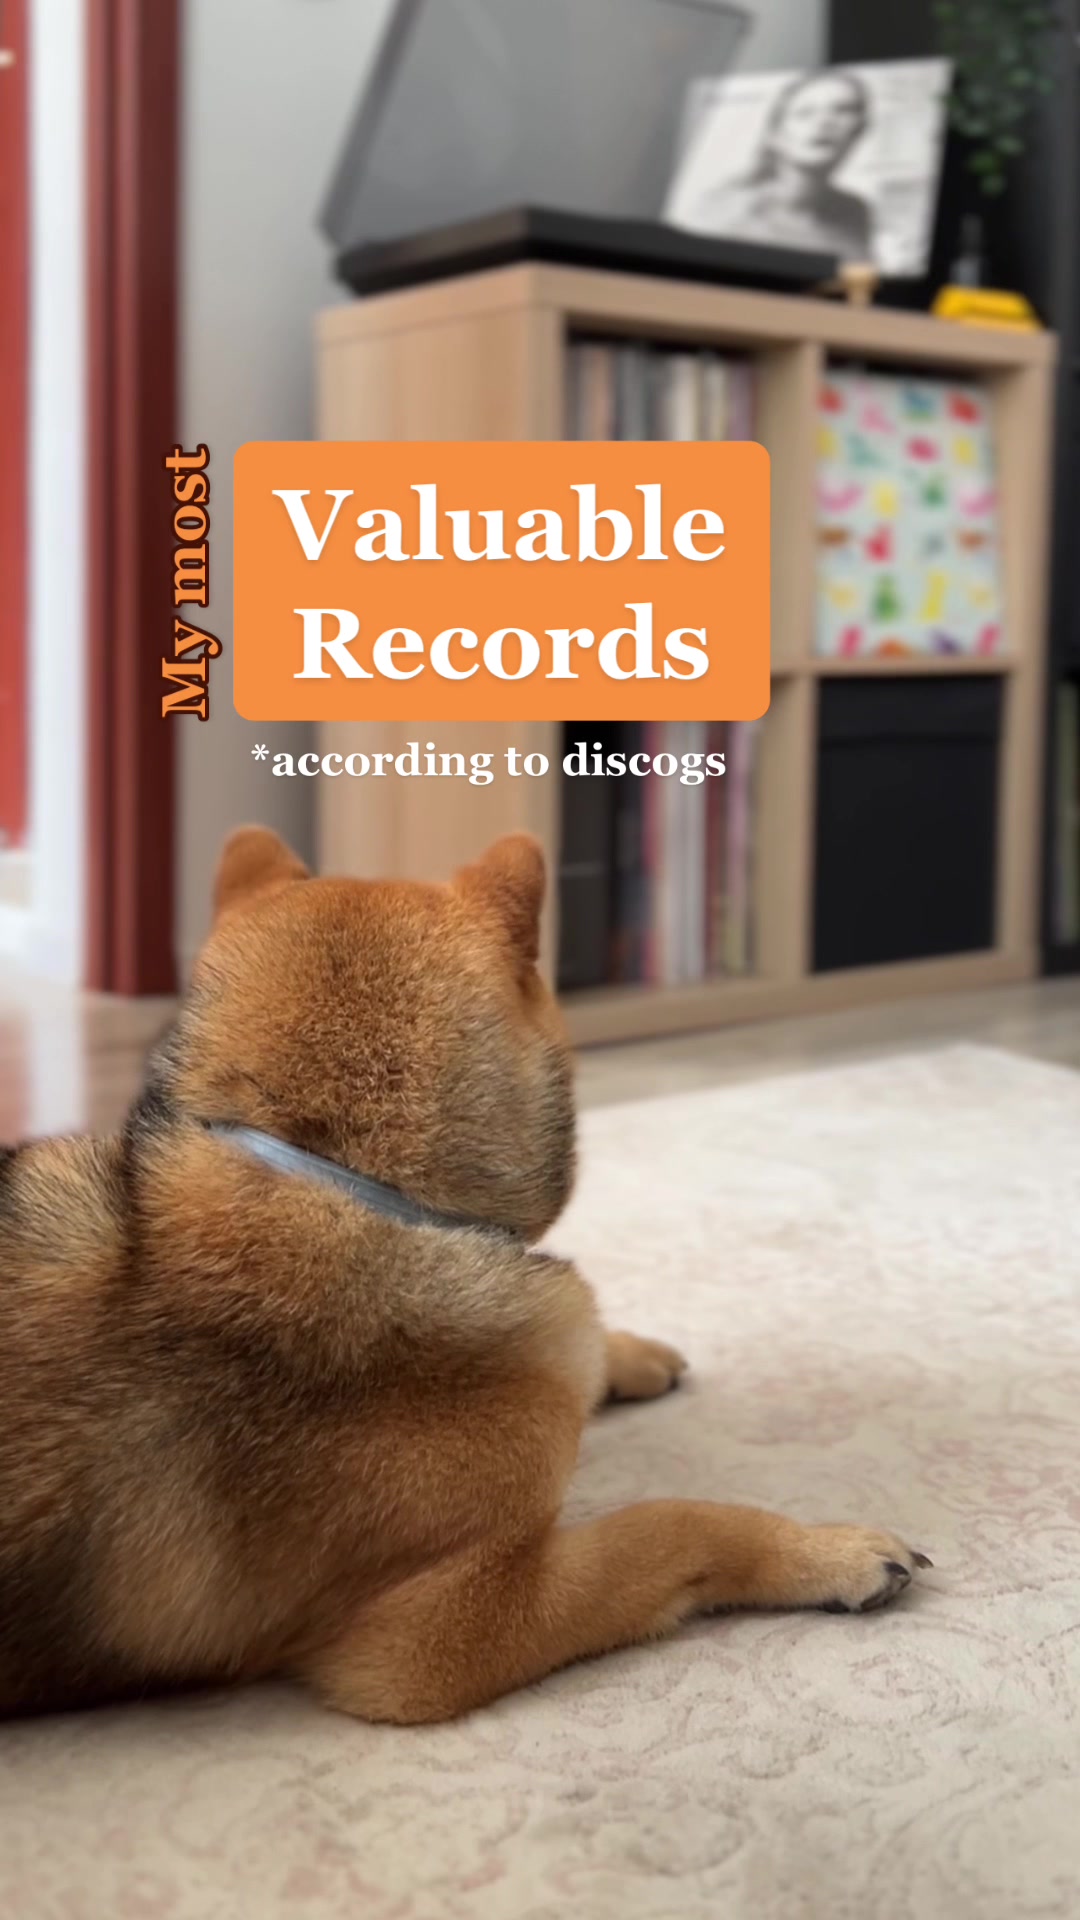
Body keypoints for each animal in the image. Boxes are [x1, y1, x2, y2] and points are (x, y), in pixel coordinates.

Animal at [0, 828, 928, 1721]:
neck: (339, 1177)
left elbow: (591, 1374)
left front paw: (623, 1355)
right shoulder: (438, 1632)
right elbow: (671, 1526)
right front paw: (822, 1551)